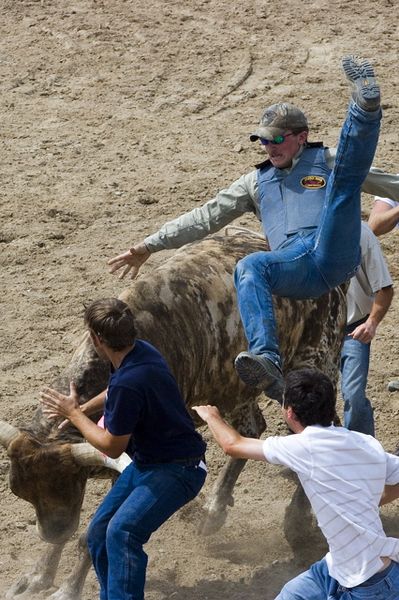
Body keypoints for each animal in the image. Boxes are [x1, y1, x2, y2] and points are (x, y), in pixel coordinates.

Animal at [0, 232, 346, 600]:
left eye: (64, 486)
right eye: (23, 492)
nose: (51, 533)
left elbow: (94, 530)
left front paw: (66, 588)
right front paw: (37, 575)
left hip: (313, 364)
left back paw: (298, 523)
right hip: (231, 389)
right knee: (252, 428)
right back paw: (213, 512)